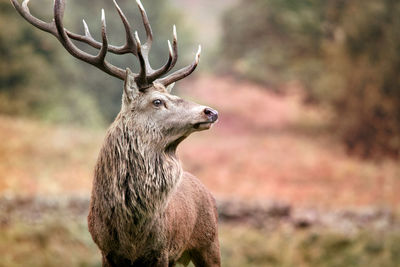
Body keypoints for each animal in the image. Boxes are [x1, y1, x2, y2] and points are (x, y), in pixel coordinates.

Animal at [9, 0, 220, 266]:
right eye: (157, 101)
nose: (210, 111)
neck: (131, 233)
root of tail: (207, 193)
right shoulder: (106, 250)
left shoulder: (162, 250)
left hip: (209, 244)